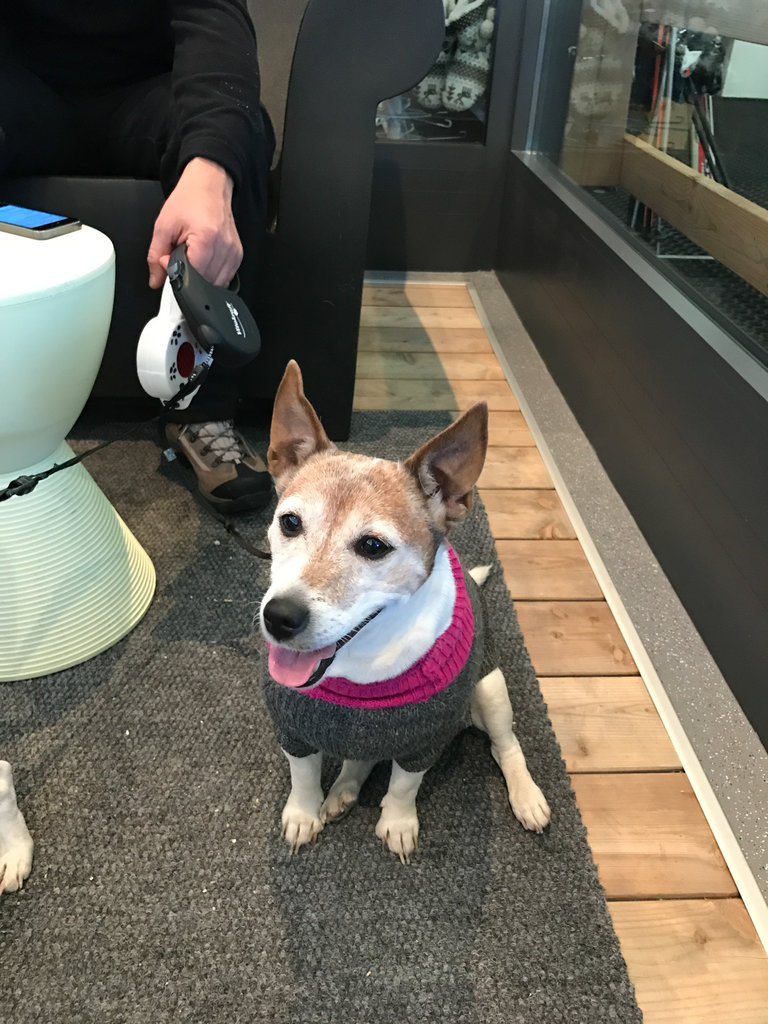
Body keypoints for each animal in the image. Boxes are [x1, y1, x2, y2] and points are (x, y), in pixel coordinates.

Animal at [259, 361, 550, 862]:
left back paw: (527, 796)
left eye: (374, 546)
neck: (359, 665)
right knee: (362, 757)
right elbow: (303, 777)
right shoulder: (293, 732)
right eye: (289, 522)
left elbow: (402, 786)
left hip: (491, 689)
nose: (279, 617)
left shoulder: (422, 743)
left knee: (506, 745)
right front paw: (304, 812)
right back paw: (343, 790)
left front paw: (396, 823)